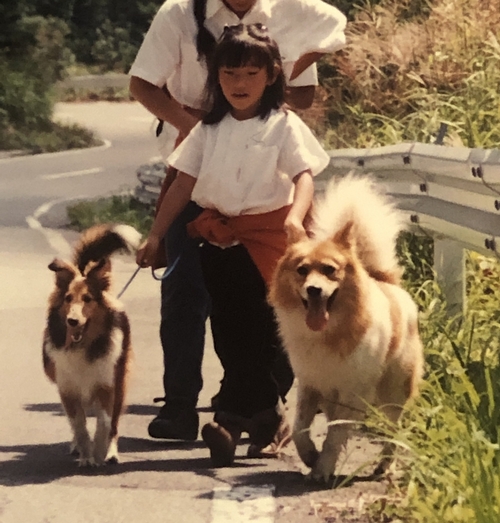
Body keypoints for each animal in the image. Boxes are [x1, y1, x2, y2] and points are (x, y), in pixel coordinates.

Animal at [42, 223, 141, 464]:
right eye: (68, 298)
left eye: (87, 299)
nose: (72, 321)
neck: (82, 346)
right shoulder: (68, 389)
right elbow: (79, 425)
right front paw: (86, 455)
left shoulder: (106, 385)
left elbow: (105, 422)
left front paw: (99, 451)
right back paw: (77, 447)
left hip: (120, 380)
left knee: (114, 423)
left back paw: (111, 453)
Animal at [272, 175, 424, 484]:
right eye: (302, 270)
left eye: (330, 270)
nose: (314, 290)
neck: (328, 332)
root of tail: (386, 282)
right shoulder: (310, 385)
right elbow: (300, 429)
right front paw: (311, 457)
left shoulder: (352, 392)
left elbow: (335, 436)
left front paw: (322, 469)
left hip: (394, 390)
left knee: (393, 430)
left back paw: (384, 467)